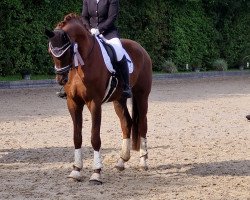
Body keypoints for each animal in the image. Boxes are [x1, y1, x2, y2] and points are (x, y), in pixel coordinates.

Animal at [45, 13, 152, 184]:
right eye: (51, 52)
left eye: (66, 51)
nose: (61, 79)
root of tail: (140, 48)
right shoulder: (73, 103)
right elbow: (77, 137)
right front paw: (76, 170)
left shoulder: (94, 103)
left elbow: (95, 137)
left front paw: (96, 173)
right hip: (119, 100)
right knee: (126, 123)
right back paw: (121, 161)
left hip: (141, 96)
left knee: (142, 125)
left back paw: (143, 162)